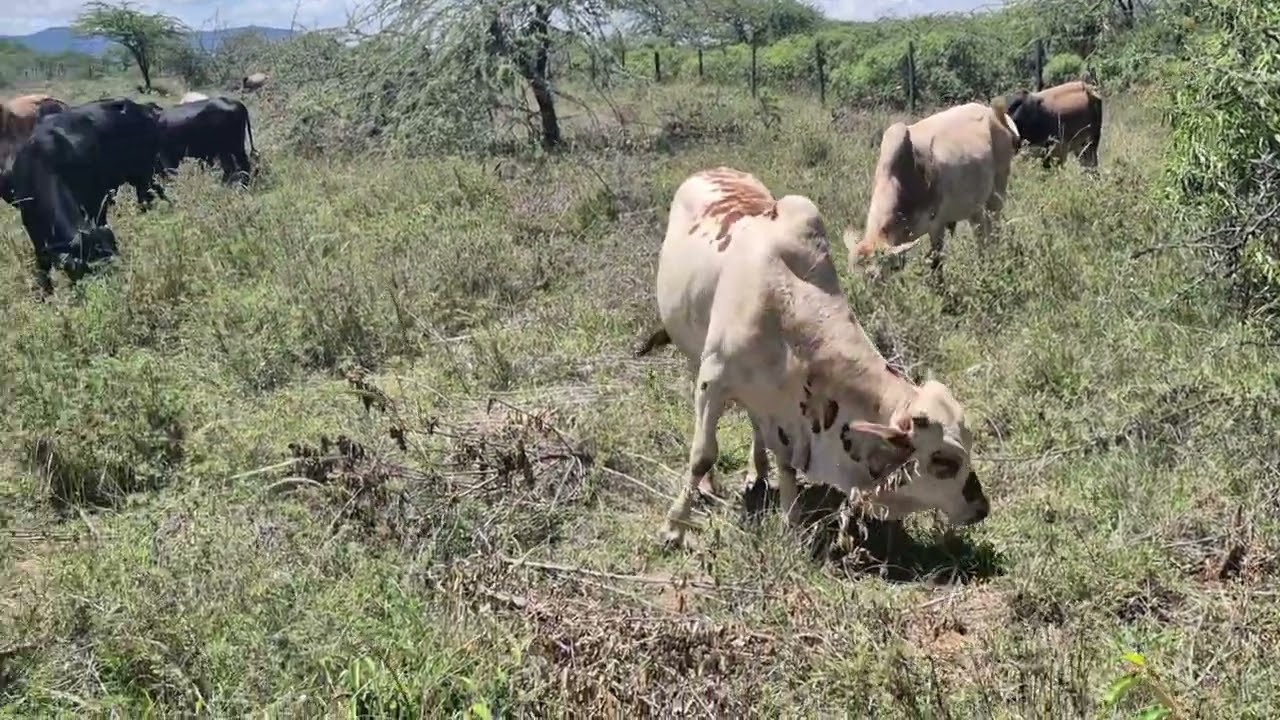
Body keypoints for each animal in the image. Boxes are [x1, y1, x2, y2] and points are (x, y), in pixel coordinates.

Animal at [6, 97, 168, 293]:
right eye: (91, 271)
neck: (42, 162)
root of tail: (142, 107)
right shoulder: (34, 231)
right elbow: (42, 266)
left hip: (144, 173)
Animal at [635, 167, 990, 549]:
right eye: (945, 460)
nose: (981, 508)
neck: (786, 312)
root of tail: (714, 169)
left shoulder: (784, 407)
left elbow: (786, 461)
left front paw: (791, 522)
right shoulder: (713, 380)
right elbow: (702, 455)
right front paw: (674, 526)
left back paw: (757, 471)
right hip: (693, 356)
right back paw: (710, 484)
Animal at [844, 99, 1020, 281]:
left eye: (875, 276)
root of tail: (994, 114)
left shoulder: (936, 224)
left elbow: (937, 263)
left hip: (997, 194)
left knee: (993, 230)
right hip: (976, 207)